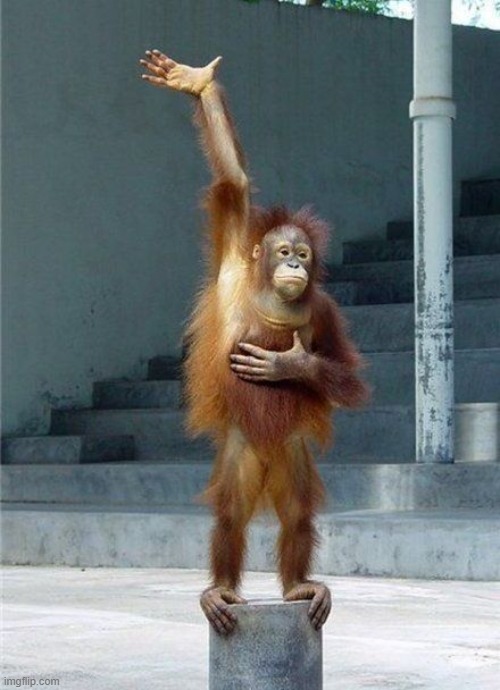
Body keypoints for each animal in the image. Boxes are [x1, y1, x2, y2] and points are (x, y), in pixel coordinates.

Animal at [140, 50, 368, 635]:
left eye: (305, 256)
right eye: (284, 251)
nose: (295, 266)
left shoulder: (325, 311)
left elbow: (352, 381)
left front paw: (294, 366)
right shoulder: (234, 252)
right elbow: (235, 182)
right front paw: (195, 83)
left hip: (293, 456)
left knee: (297, 517)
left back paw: (298, 586)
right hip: (240, 454)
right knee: (230, 518)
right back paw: (221, 589)